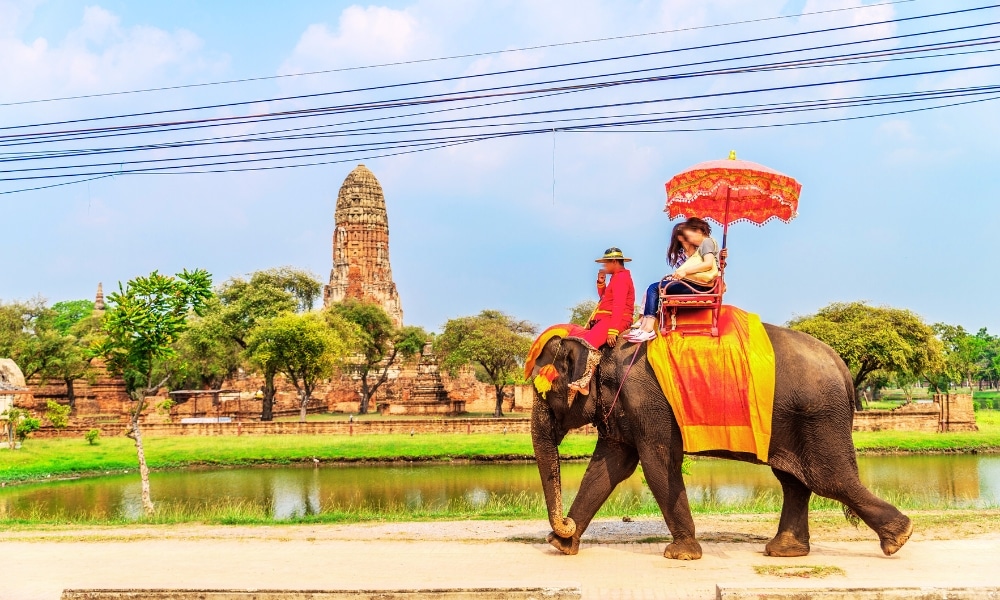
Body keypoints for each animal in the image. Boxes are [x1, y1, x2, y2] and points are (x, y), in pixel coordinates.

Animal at [532, 326, 916, 560]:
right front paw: (561, 545)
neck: (605, 350)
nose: (562, 525)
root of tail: (841, 364)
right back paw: (784, 551)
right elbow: (610, 466)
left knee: (829, 479)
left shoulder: (648, 403)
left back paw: (899, 538)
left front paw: (681, 555)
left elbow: (657, 464)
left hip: (819, 415)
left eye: (544, 392)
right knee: (794, 481)